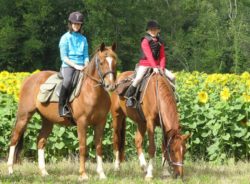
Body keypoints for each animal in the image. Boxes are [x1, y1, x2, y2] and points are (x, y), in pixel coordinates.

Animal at [6, 42, 117, 180]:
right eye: (101, 62)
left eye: (115, 62)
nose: (110, 86)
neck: (92, 92)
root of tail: (29, 79)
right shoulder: (82, 123)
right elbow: (83, 147)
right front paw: (83, 174)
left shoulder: (101, 123)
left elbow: (98, 147)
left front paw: (101, 174)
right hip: (24, 116)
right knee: (14, 139)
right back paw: (10, 170)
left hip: (47, 121)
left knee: (40, 141)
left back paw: (44, 172)